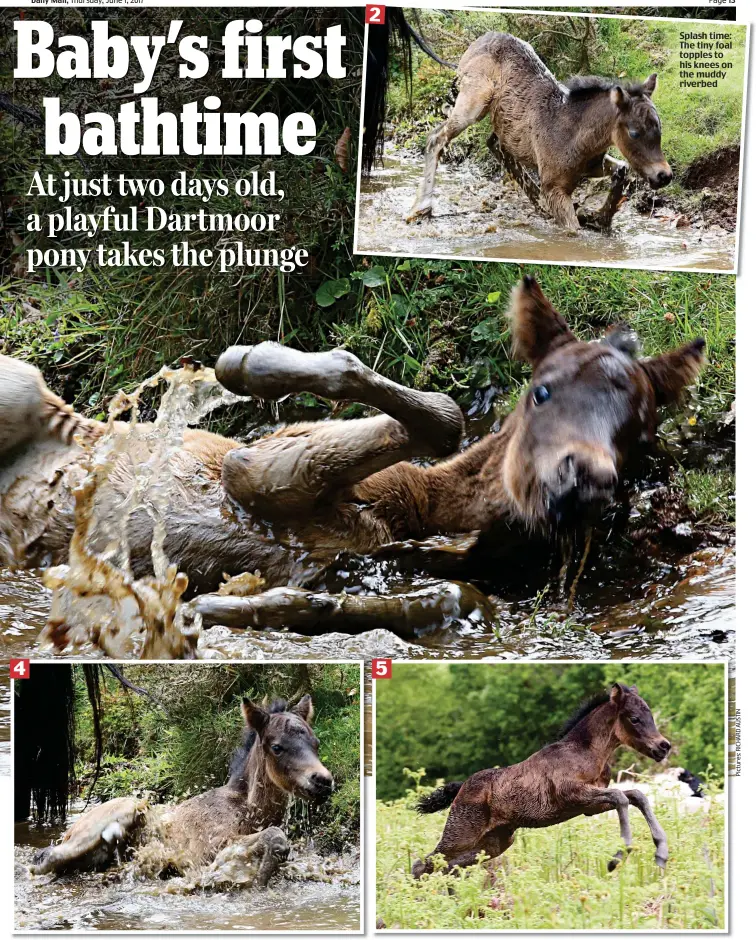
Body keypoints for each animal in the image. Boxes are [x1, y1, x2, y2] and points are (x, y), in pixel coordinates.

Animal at [1, 276, 704, 636]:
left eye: (639, 430)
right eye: (541, 390)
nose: (580, 480)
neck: (428, 516)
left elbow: (444, 597)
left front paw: (225, 608)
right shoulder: (252, 463)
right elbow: (441, 414)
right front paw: (247, 362)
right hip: (18, 385)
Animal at [31, 696, 334, 888]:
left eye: (316, 742)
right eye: (277, 747)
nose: (323, 781)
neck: (246, 810)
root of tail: (73, 827)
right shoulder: (206, 849)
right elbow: (274, 838)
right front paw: (255, 880)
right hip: (120, 812)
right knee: (45, 857)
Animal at [416, 688, 672, 876]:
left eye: (650, 715)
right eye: (635, 718)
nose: (664, 746)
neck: (586, 753)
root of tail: (461, 788)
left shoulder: (591, 806)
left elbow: (636, 796)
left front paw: (661, 854)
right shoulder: (574, 796)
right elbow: (621, 797)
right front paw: (617, 858)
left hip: (494, 842)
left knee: (445, 866)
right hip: (462, 834)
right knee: (423, 864)